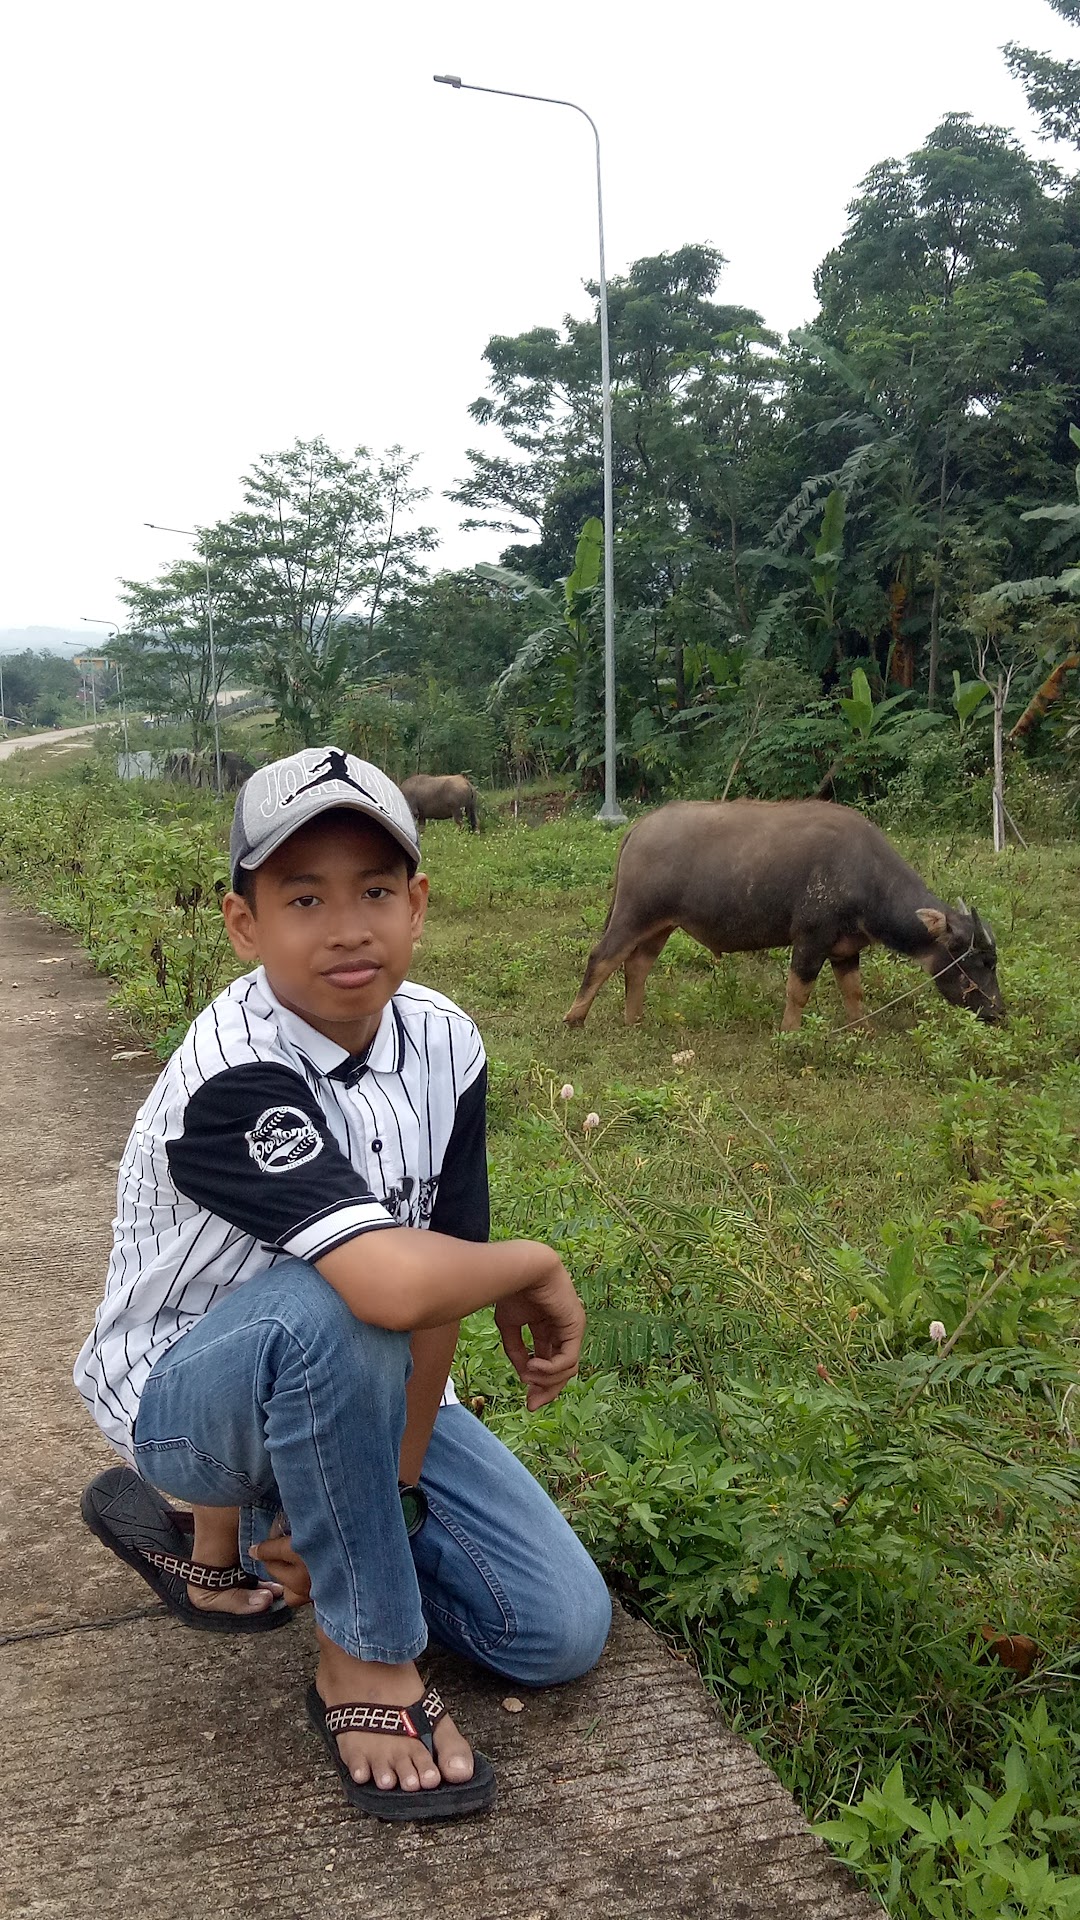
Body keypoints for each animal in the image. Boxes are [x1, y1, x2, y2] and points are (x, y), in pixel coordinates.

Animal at [564, 794, 999, 1036]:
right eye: (980, 961)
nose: (999, 1012)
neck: (865, 873)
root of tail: (640, 828)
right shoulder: (810, 938)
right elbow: (798, 990)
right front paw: (789, 1034)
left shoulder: (845, 949)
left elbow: (854, 992)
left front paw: (864, 1031)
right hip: (633, 913)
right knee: (603, 957)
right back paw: (574, 1018)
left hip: (661, 925)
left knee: (637, 965)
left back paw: (634, 1019)